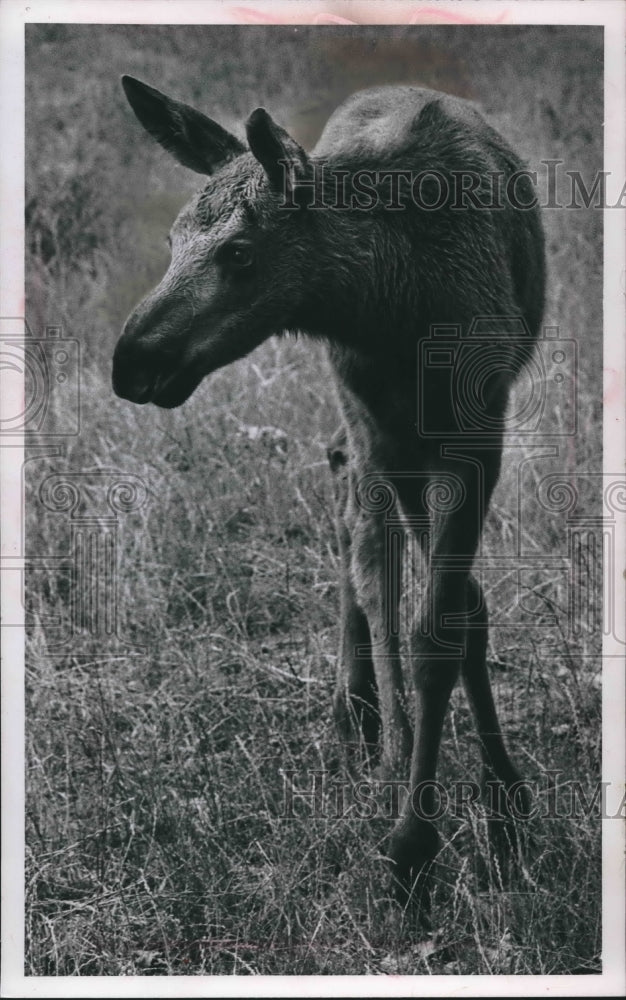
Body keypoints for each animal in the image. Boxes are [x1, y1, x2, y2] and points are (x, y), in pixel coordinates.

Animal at [113, 75, 545, 924]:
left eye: (239, 253)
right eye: (174, 239)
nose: (130, 361)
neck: (395, 305)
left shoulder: (476, 434)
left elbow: (446, 624)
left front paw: (491, 803)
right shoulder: (390, 435)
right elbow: (406, 603)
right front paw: (413, 828)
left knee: (359, 517)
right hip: (364, 423)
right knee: (357, 528)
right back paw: (358, 712)